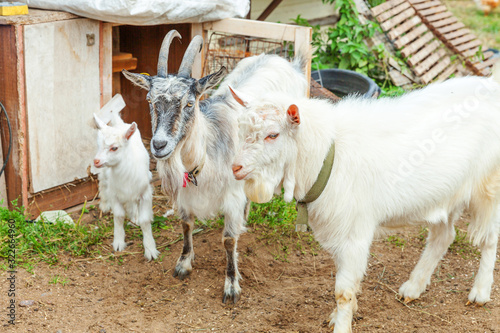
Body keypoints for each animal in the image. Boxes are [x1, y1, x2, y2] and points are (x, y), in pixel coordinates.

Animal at [230, 68, 500, 332]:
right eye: (241, 130)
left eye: (273, 135)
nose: (235, 168)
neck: (326, 155)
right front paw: (339, 316)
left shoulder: (353, 233)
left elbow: (343, 292)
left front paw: (342, 325)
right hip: (446, 194)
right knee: (443, 236)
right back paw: (413, 287)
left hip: (487, 187)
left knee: (489, 238)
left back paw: (480, 292)